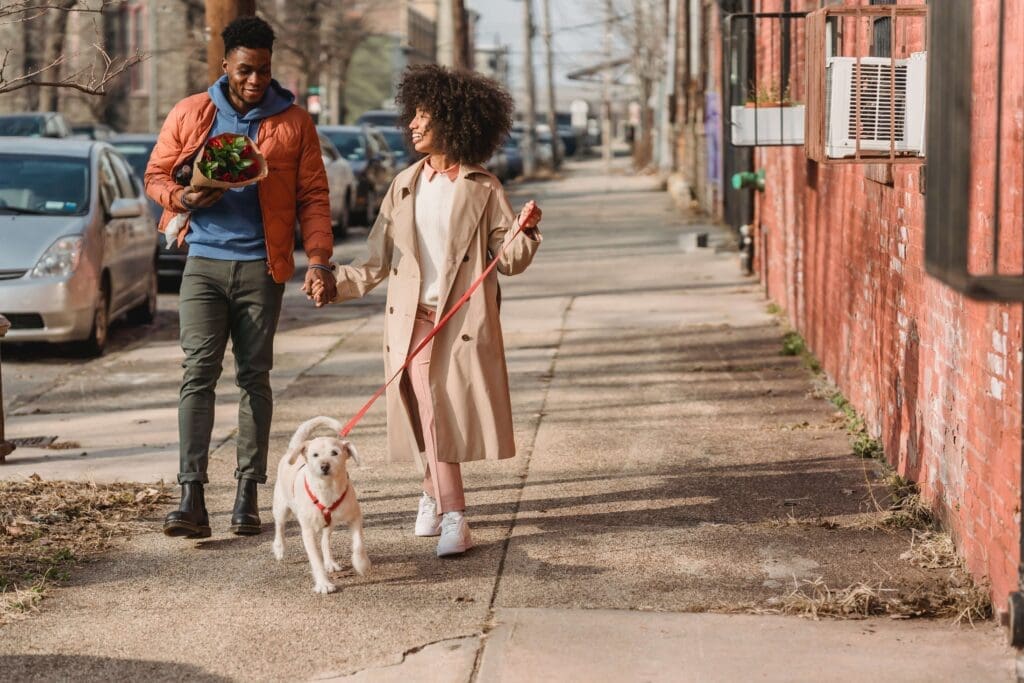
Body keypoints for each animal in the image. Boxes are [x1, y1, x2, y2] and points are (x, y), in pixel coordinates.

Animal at [270, 417, 370, 593]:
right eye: (315, 455)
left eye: (335, 453)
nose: (324, 466)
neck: (327, 488)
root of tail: (294, 448)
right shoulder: (308, 532)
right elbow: (315, 560)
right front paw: (324, 584)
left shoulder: (355, 516)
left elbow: (358, 544)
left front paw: (361, 563)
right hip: (281, 507)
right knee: (280, 526)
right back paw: (280, 548)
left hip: (330, 523)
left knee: (325, 540)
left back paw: (329, 562)